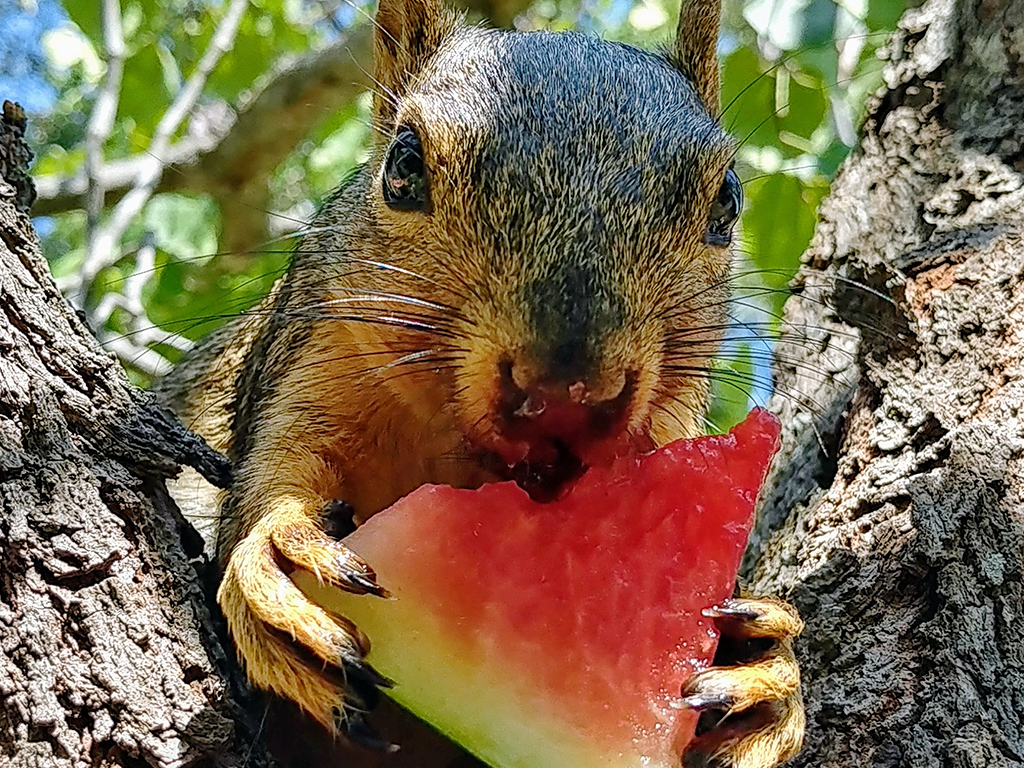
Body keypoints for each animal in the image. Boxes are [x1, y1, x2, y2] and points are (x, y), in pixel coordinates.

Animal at [155, 0, 806, 764]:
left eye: (727, 205)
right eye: (403, 165)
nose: (565, 390)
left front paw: (764, 671)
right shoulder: (305, 366)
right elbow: (269, 481)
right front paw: (277, 548)